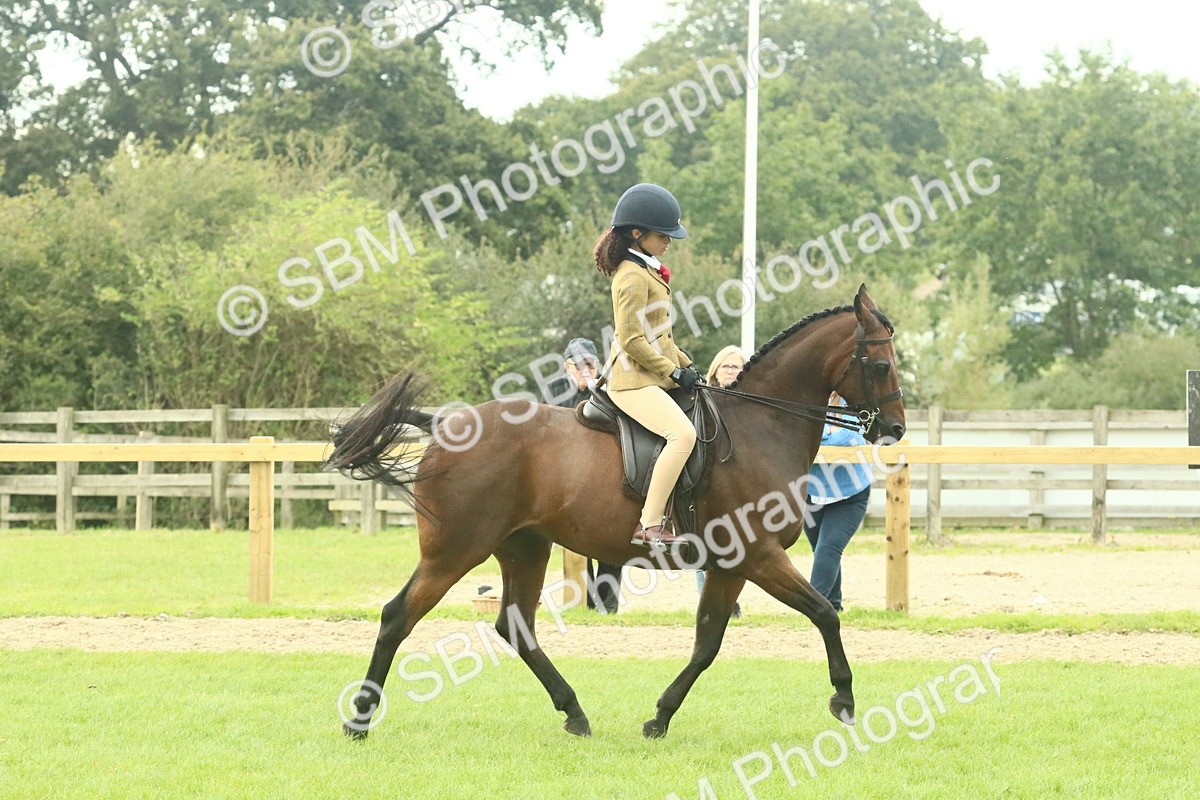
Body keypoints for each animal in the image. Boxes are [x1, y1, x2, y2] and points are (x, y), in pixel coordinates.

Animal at [326, 283, 906, 740]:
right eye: (881, 365)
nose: (895, 429)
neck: (759, 428)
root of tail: (447, 424)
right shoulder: (758, 557)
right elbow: (824, 613)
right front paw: (844, 700)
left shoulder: (729, 567)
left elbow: (707, 643)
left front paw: (660, 718)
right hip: (454, 551)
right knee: (397, 616)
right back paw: (359, 719)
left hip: (524, 547)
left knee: (516, 627)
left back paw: (575, 713)